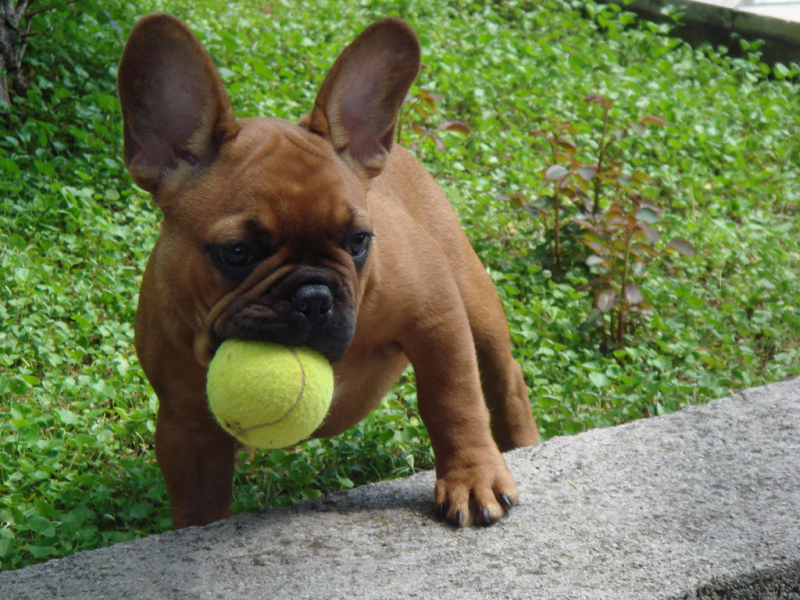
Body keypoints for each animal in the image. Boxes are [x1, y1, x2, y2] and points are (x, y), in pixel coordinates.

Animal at [119, 12, 540, 528]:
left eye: (358, 241)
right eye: (236, 252)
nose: (314, 296)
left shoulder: (437, 318)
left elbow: (453, 400)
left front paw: (473, 477)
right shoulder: (187, 426)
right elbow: (199, 501)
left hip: (475, 299)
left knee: (504, 376)